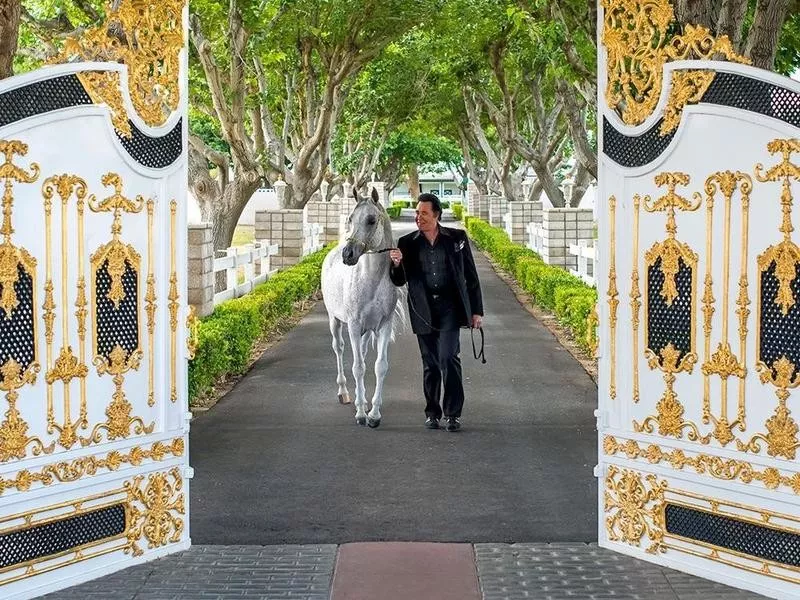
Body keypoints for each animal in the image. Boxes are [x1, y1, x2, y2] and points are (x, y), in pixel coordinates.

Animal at [318, 188, 406, 426]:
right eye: (350, 219)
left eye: (371, 220)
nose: (348, 254)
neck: (371, 281)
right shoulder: (354, 326)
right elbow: (357, 367)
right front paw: (360, 413)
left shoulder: (383, 326)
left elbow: (379, 366)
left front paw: (373, 414)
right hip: (335, 321)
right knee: (339, 348)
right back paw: (344, 393)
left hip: (366, 331)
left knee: (364, 354)